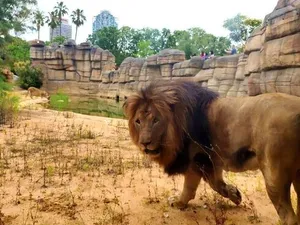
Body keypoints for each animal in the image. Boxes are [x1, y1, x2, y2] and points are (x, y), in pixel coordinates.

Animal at [122, 80, 300, 224]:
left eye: (156, 120)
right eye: (138, 121)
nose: (144, 143)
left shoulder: (197, 160)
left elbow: (192, 187)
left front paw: (179, 203)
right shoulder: (211, 161)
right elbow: (217, 184)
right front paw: (235, 194)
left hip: (274, 175)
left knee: (289, 217)